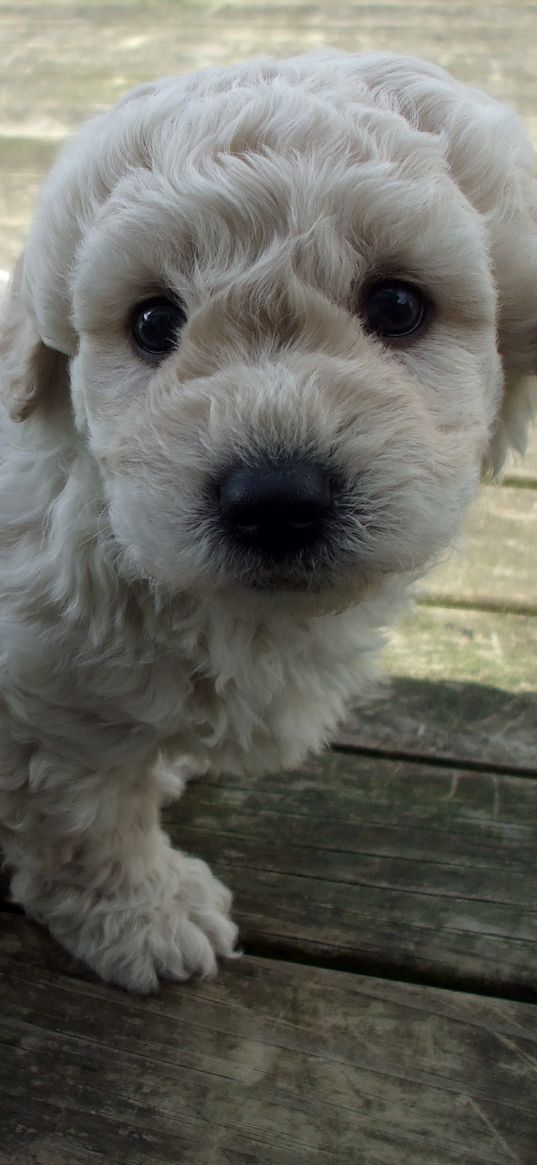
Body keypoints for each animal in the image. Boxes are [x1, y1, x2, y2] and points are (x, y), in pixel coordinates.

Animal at [1, 50, 535, 987]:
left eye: (398, 306)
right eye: (153, 321)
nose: (275, 500)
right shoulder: (53, 698)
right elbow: (88, 817)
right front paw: (147, 916)